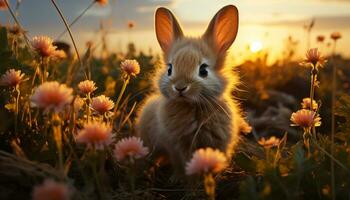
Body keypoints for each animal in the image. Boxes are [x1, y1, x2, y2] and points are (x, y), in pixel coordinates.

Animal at [135, 5, 250, 175]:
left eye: (203, 70)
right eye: (169, 69)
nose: (180, 87)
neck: (192, 107)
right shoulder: (175, 147)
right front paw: (183, 178)